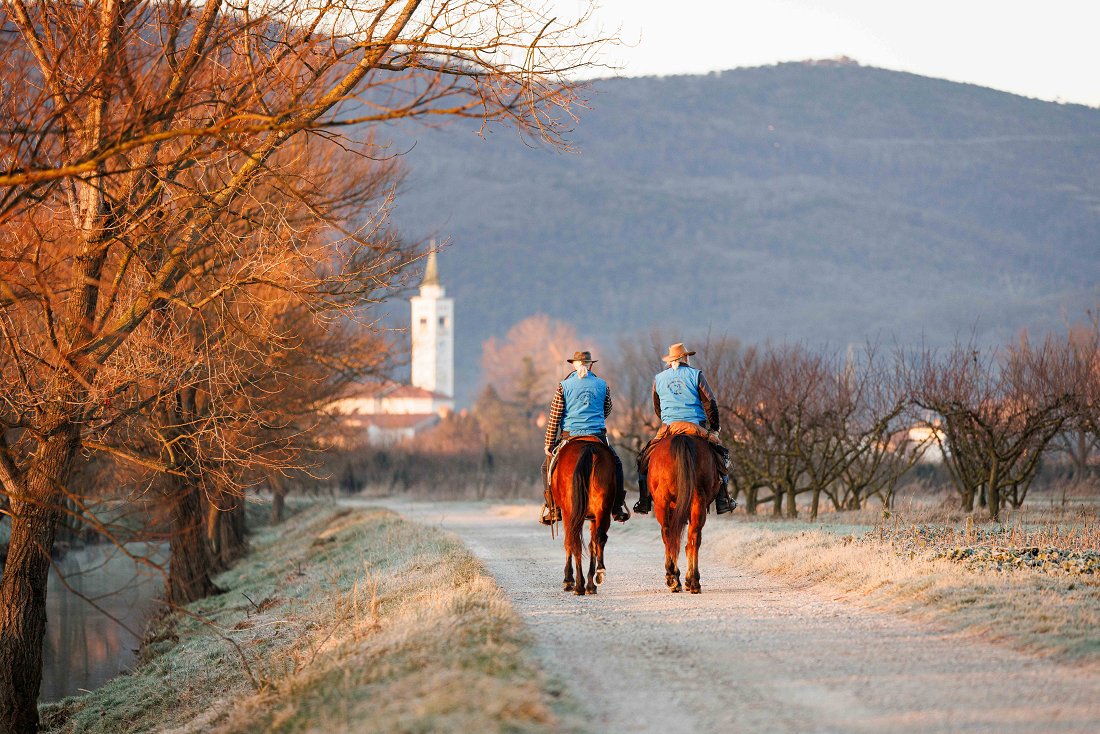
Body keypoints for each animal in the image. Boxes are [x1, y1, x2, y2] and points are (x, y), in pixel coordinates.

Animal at [550, 440, 620, 594]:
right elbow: (592, 544)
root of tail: (589, 448)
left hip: (571, 513)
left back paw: (578, 585)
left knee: (575, 541)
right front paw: (591, 583)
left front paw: (568, 580)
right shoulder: (593, 517)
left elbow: (568, 543)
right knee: (599, 538)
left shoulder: (568, 514)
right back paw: (597, 576)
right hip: (602, 510)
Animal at [642, 433, 721, 594]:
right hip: (697, 500)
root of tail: (682, 438)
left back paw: (675, 578)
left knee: (669, 534)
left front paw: (676, 577)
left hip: (664, 502)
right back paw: (693, 581)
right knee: (693, 536)